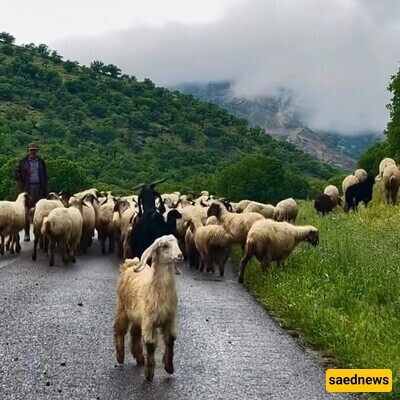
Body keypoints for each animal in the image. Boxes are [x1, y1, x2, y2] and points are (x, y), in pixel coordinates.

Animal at [111, 234, 182, 382]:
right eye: (165, 246)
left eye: (177, 243)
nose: (180, 256)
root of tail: (129, 265)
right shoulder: (149, 322)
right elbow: (150, 345)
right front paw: (149, 374)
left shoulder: (169, 320)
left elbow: (170, 341)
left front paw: (169, 368)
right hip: (122, 309)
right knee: (119, 330)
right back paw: (120, 357)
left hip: (138, 316)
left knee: (135, 334)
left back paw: (139, 358)